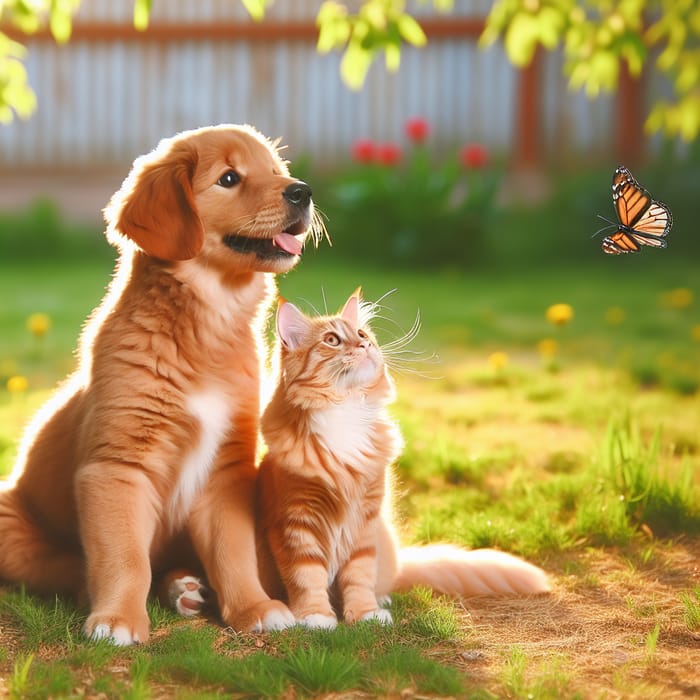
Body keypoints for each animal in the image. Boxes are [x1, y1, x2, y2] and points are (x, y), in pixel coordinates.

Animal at [0, 121, 320, 644]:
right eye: (229, 178)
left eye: (276, 171)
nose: (303, 191)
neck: (207, 324)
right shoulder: (116, 467)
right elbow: (124, 558)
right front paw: (117, 619)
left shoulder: (227, 469)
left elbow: (233, 552)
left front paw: (254, 608)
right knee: (63, 566)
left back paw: (183, 587)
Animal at [254, 290, 548, 628]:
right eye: (331, 340)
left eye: (362, 335)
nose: (365, 346)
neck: (344, 410)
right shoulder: (295, 520)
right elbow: (307, 576)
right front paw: (316, 617)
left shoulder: (365, 520)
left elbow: (359, 575)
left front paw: (365, 614)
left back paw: (382, 599)